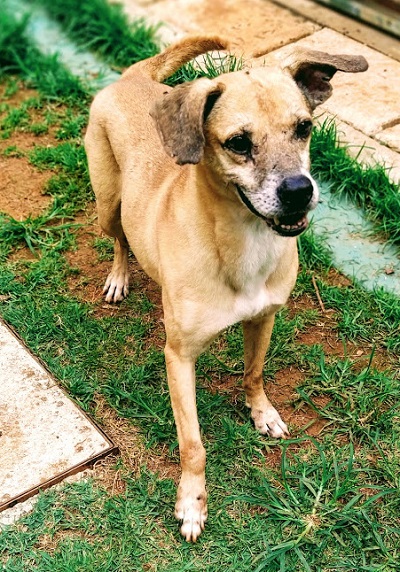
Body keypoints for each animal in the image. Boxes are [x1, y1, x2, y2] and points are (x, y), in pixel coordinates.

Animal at [85, 35, 368, 540]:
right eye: (238, 143)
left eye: (304, 128)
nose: (300, 191)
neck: (242, 245)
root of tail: (135, 77)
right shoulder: (178, 358)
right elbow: (193, 443)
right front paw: (192, 503)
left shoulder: (264, 318)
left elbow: (253, 373)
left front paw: (263, 413)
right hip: (107, 203)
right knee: (119, 240)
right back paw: (119, 277)